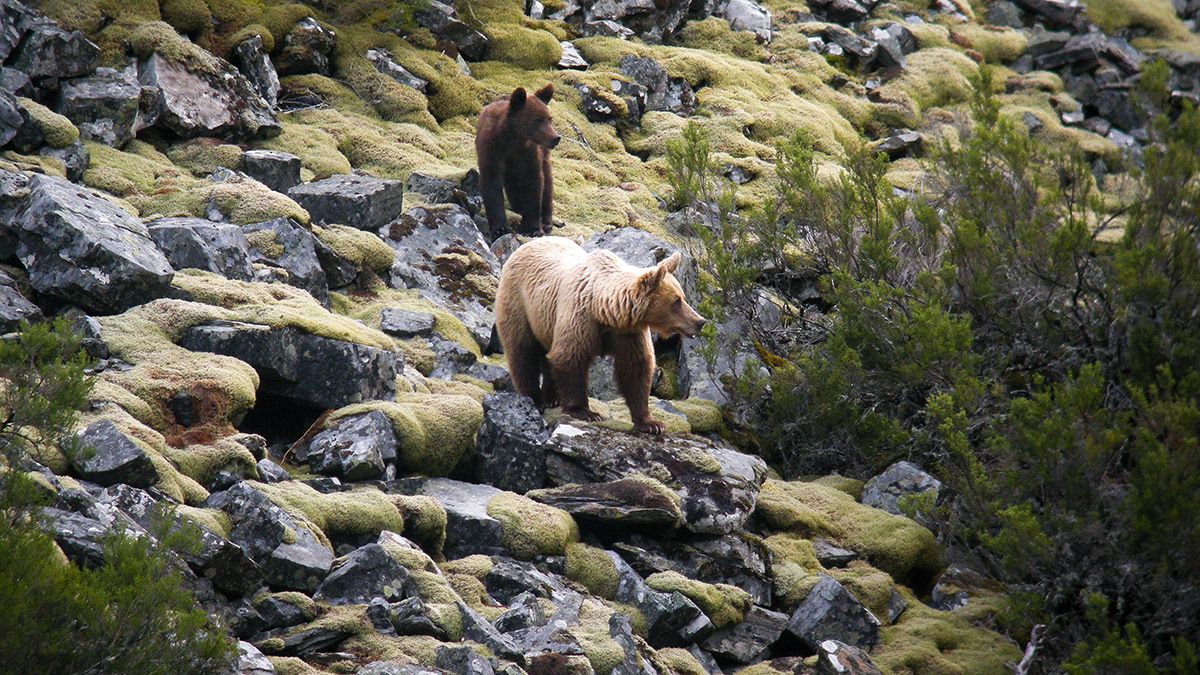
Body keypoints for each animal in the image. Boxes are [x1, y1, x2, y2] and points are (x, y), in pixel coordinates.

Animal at [475, 84, 559, 237]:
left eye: (550, 118)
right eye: (538, 119)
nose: (556, 138)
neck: (513, 138)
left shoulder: (528, 153)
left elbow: (533, 183)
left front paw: (532, 227)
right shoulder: (491, 149)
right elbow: (491, 182)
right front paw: (500, 228)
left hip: (543, 153)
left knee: (547, 181)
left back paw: (546, 221)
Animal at [494, 236, 700, 432]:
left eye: (683, 297)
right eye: (676, 301)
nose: (699, 322)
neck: (605, 312)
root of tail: (528, 243)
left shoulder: (628, 333)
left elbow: (636, 368)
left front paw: (651, 423)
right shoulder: (580, 318)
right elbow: (569, 357)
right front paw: (585, 412)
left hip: (546, 322)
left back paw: (552, 397)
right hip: (519, 303)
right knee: (522, 351)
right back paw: (534, 399)